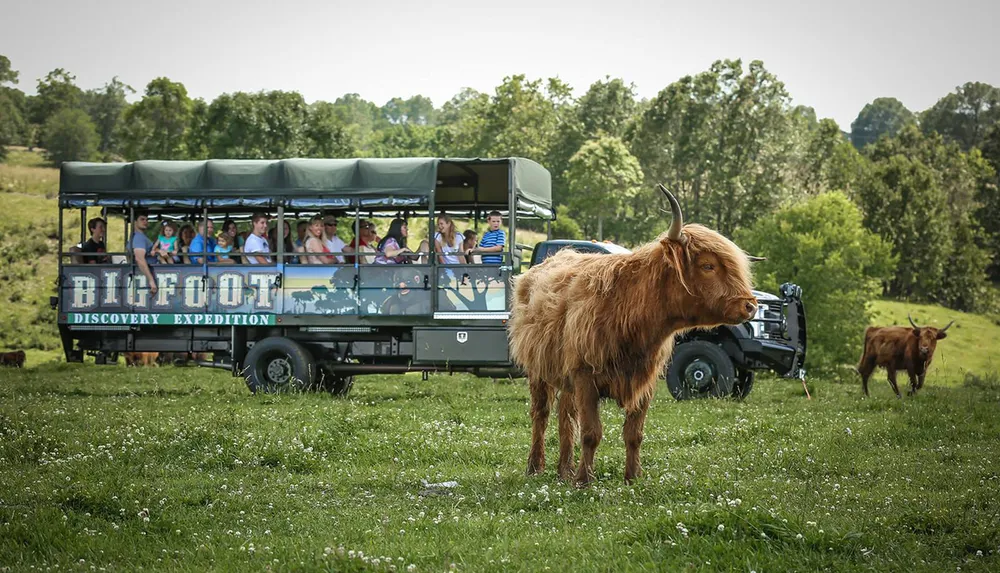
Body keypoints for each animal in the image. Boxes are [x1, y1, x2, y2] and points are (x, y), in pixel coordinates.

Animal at [508, 184, 756, 488]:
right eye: (708, 266)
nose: (750, 305)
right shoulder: (585, 376)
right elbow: (591, 432)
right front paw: (584, 480)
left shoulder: (643, 381)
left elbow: (634, 434)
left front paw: (633, 477)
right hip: (538, 370)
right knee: (541, 415)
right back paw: (536, 466)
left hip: (566, 375)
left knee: (566, 417)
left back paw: (564, 470)